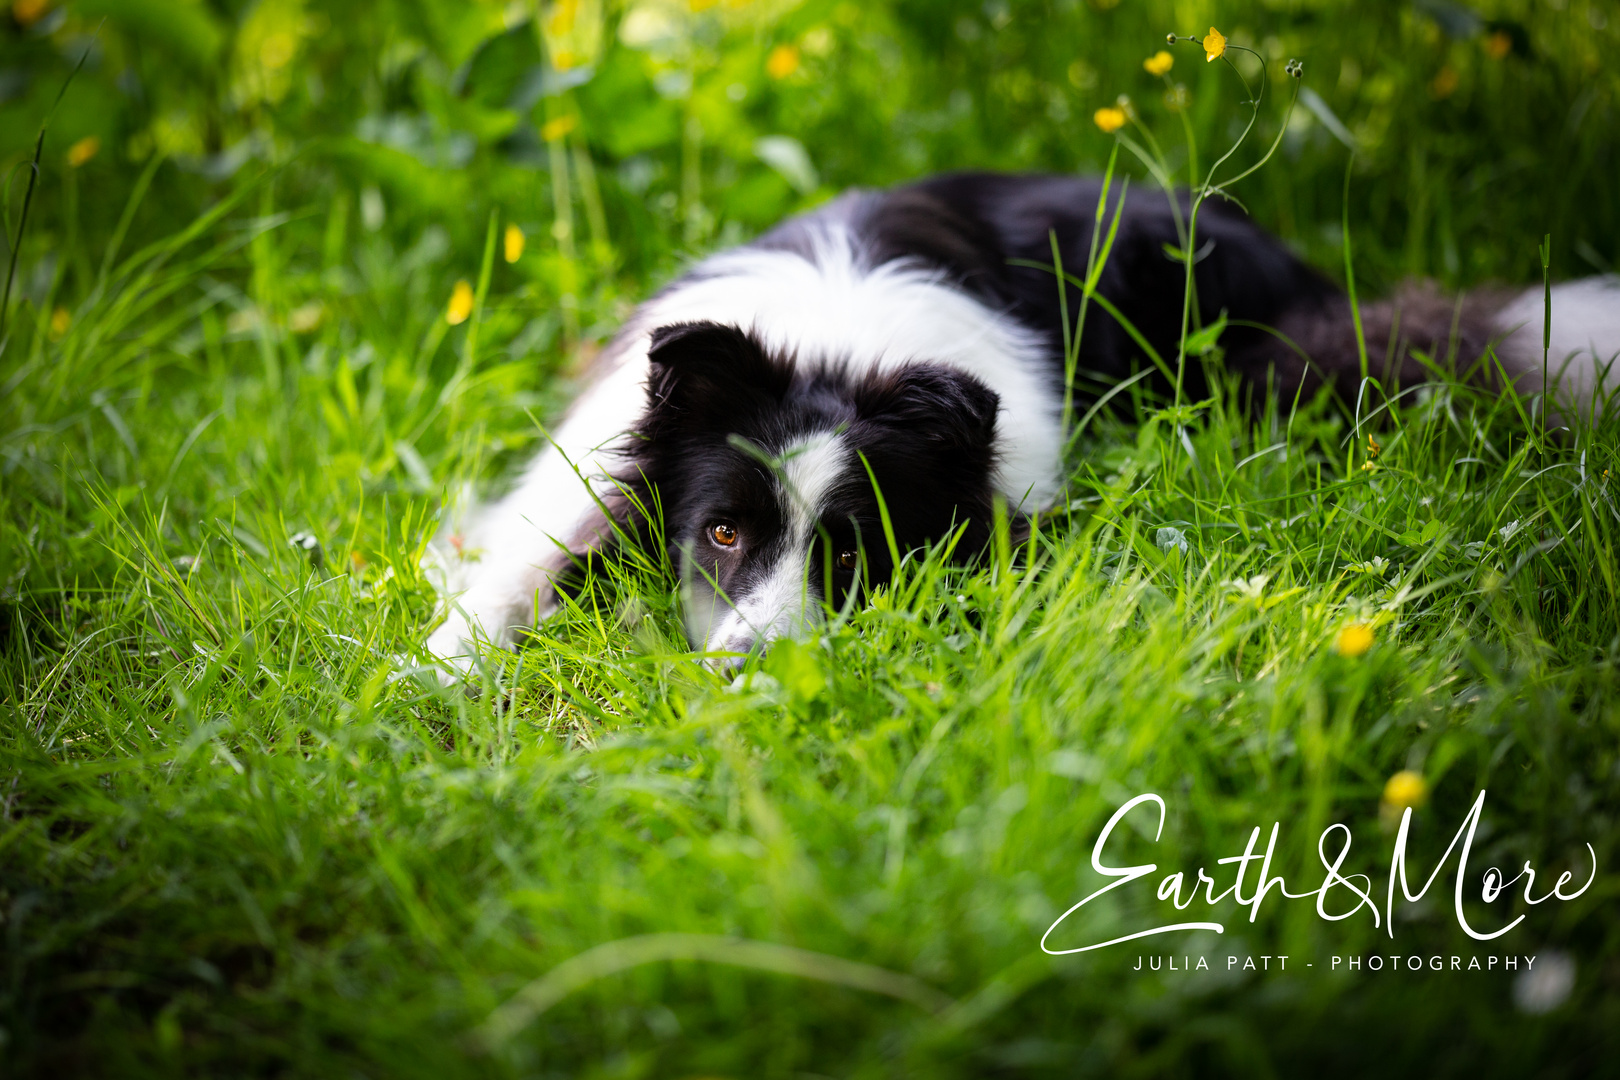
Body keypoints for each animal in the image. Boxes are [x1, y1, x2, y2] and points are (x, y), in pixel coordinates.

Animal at [424, 172, 1613, 670]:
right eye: (720, 532)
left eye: (858, 553)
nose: (743, 673)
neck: (839, 343)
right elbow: (510, 579)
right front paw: (439, 679)